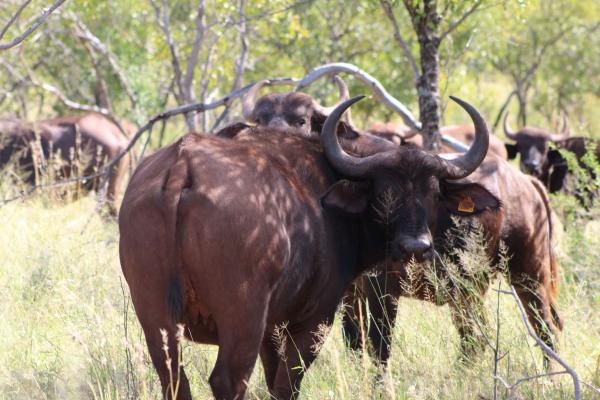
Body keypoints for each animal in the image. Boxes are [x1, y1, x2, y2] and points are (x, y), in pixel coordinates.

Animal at [119, 94, 490, 400]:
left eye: (434, 191)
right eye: (386, 191)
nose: (416, 246)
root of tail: (183, 164)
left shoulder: (273, 329)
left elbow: (273, 380)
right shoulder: (314, 318)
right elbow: (288, 384)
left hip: (156, 318)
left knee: (173, 379)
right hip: (242, 320)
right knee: (227, 381)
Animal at [342, 154, 564, 368]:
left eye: (435, 196)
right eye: (384, 195)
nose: (415, 248)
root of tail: (527, 182)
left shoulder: (381, 287)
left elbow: (380, 344)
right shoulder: (351, 291)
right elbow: (354, 339)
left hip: (530, 278)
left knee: (546, 331)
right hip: (470, 293)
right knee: (477, 337)